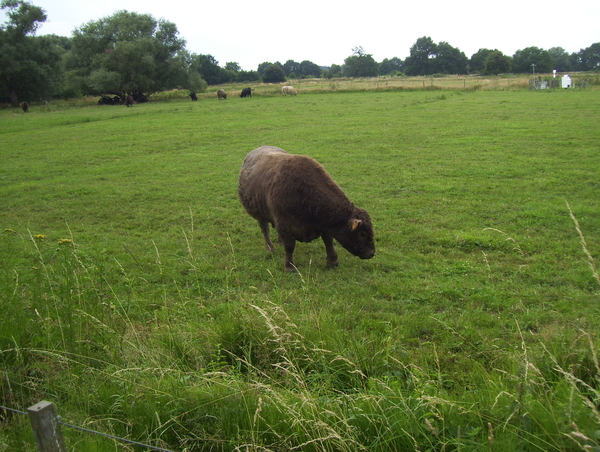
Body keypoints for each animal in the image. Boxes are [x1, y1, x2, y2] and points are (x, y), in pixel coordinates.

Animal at [239, 147, 376, 270]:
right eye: (362, 233)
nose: (372, 253)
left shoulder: (323, 224)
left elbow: (328, 241)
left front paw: (332, 262)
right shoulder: (284, 223)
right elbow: (289, 246)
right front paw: (290, 266)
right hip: (260, 214)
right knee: (265, 229)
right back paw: (270, 248)